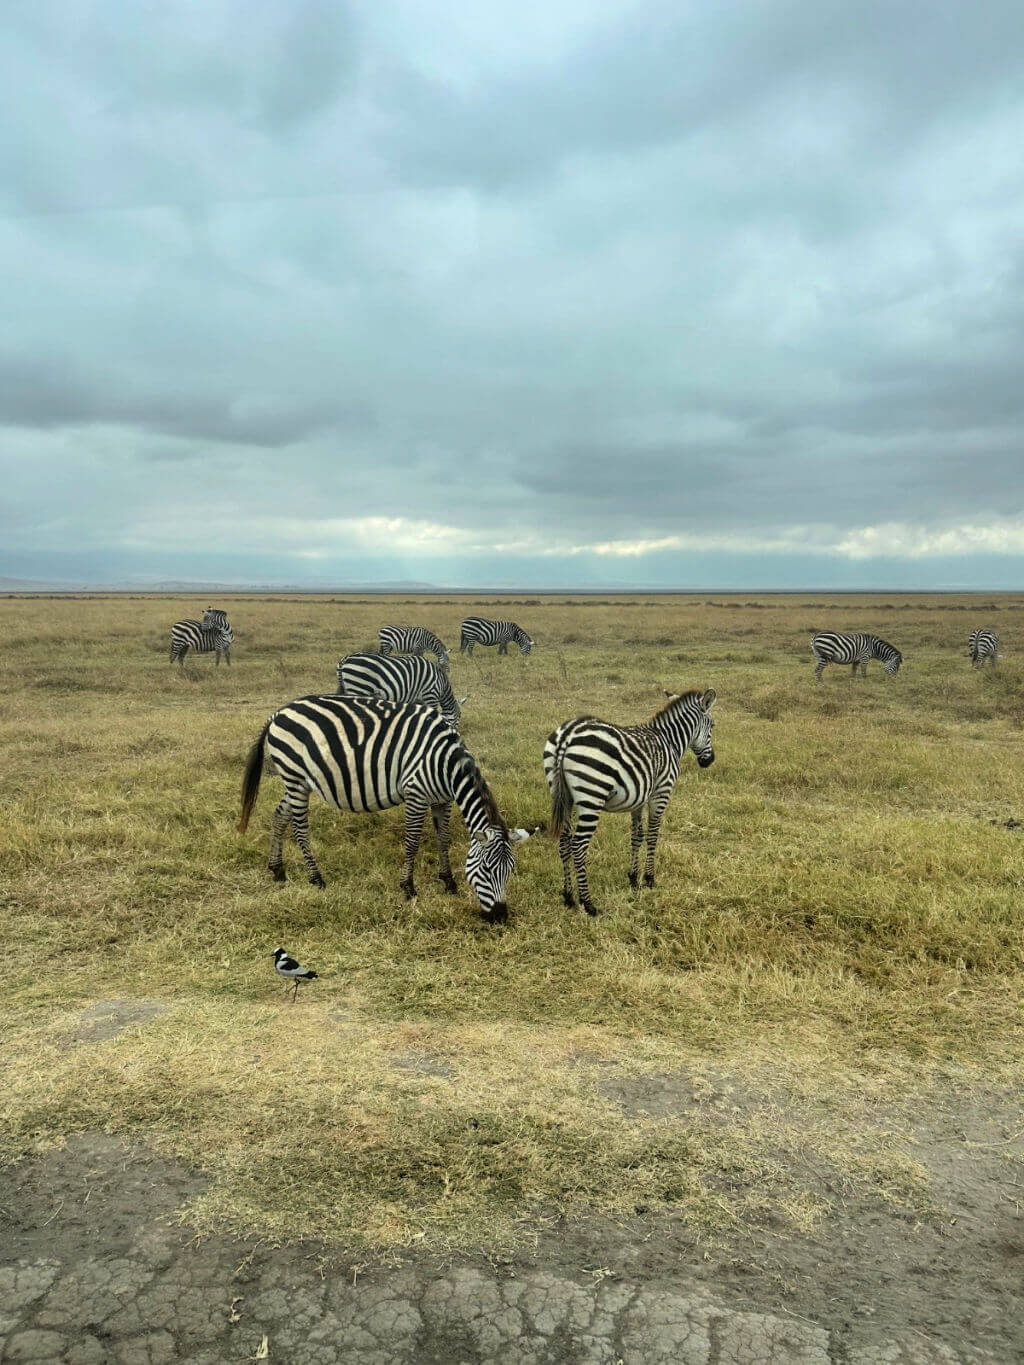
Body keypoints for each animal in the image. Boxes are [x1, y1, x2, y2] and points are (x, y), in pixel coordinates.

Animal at [238, 695, 537, 923]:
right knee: (300, 829)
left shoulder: (443, 800)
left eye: (510, 871)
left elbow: (443, 839)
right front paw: (409, 888)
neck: (446, 763)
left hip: (298, 782)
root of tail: (278, 713)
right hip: (296, 778)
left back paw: (277, 870)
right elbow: (412, 842)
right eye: (486, 869)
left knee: (279, 816)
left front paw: (448, 882)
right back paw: (317, 879)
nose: (500, 917)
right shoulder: (416, 794)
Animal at [337, 652, 467, 729]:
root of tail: (345, 659)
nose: (456, 733)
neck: (441, 685)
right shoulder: (431, 694)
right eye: (459, 717)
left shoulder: (416, 698)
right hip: (358, 688)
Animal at [543, 689, 716, 917]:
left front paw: (633, 878)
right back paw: (588, 903)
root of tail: (568, 734)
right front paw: (649, 879)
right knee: (578, 845)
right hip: (592, 795)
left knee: (564, 843)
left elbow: (637, 836)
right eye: (712, 726)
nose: (710, 761)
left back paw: (568, 897)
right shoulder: (661, 792)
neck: (670, 741)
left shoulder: (639, 798)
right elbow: (652, 836)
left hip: (563, 796)